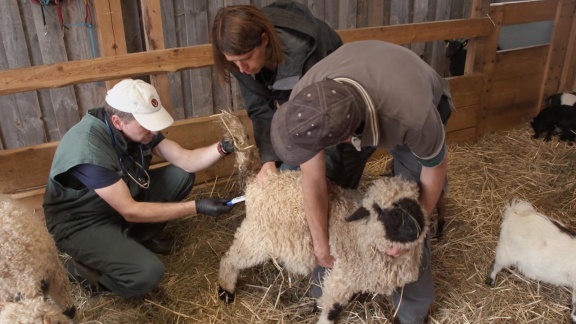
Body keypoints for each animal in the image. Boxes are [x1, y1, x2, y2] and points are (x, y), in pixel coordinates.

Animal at [216, 171, 428, 322]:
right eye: (381, 211)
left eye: (414, 203)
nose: (413, 229)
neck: (362, 235)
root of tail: (256, 181)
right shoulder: (343, 276)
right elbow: (331, 309)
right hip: (257, 236)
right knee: (230, 258)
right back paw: (226, 290)